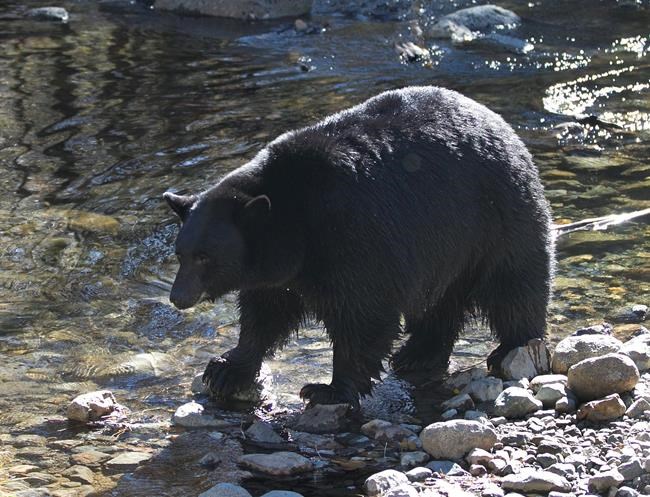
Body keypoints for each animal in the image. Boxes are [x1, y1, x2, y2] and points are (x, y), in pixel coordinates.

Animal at [163, 86, 554, 409]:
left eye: (205, 257)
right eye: (181, 254)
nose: (178, 297)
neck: (296, 219)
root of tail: (501, 124)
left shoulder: (354, 235)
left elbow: (364, 315)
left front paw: (329, 389)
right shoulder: (278, 270)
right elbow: (265, 313)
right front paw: (226, 369)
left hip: (497, 218)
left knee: (513, 285)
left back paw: (511, 349)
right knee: (442, 301)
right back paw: (418, 353)